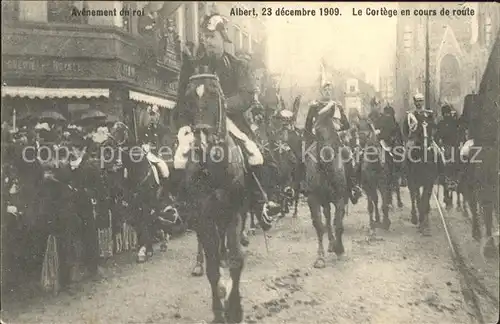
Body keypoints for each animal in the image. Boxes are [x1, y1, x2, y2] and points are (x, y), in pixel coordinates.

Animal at [179, 67, 250, 322]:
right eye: (188, 98)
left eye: (214, 95)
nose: (201, 143)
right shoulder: (203, 217)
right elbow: (212, 269)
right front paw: (219, 311)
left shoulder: (234, 213)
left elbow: (237, 260)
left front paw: (235, 308)